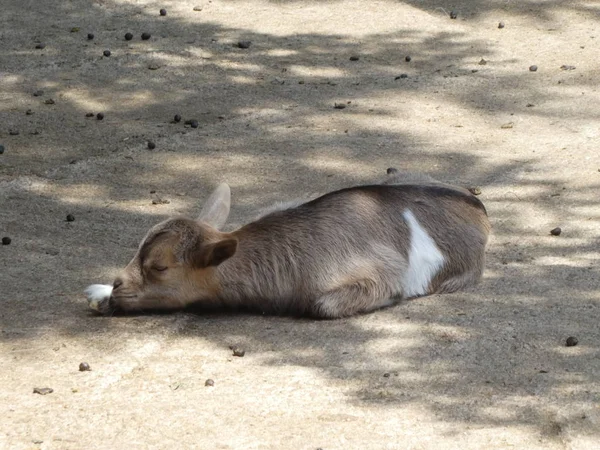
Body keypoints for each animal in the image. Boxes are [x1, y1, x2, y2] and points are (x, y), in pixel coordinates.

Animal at [86, 170, 490, 320]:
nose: (119, 288)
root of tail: (478, 206)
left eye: (160, 266)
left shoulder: (376, 274)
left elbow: (325, 305)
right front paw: (99, 291)